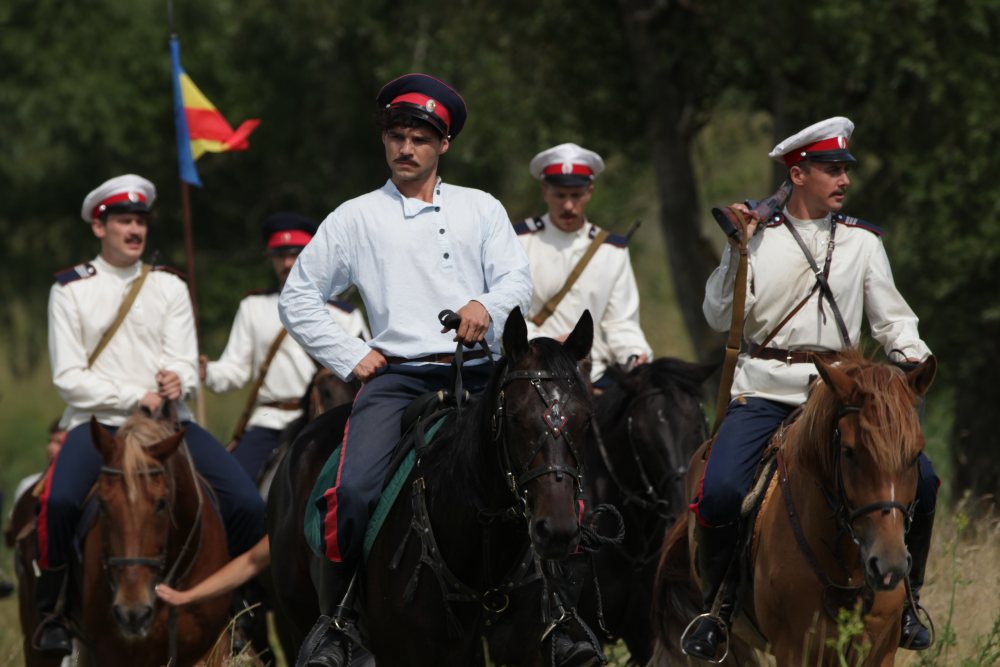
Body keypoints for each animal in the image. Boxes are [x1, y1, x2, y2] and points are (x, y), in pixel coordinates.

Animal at [656, 352, 936, 664]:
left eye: (916, 454)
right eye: (849, 452)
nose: (890, 565)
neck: (847, 566)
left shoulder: (879, 651)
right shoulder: (793, 648)